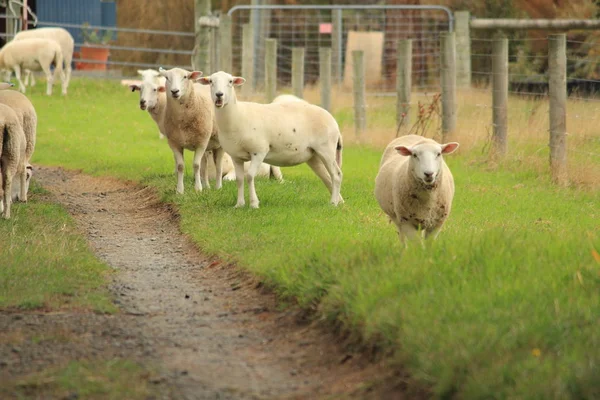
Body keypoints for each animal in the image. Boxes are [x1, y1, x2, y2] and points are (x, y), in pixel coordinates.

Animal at [200, 71, 344, 208]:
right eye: (211, 81)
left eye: (230, 81)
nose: (219, 95)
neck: (238, 115)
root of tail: (334, 121)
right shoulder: (236, 157)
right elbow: (240, 179)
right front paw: (239, 204)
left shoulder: (259, 152)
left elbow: (250, 176)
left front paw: (254, 203)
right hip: (313, 156)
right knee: (327, 177)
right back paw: (339, 201)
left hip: (326, 149)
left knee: (336, 175)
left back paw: (333, 203)